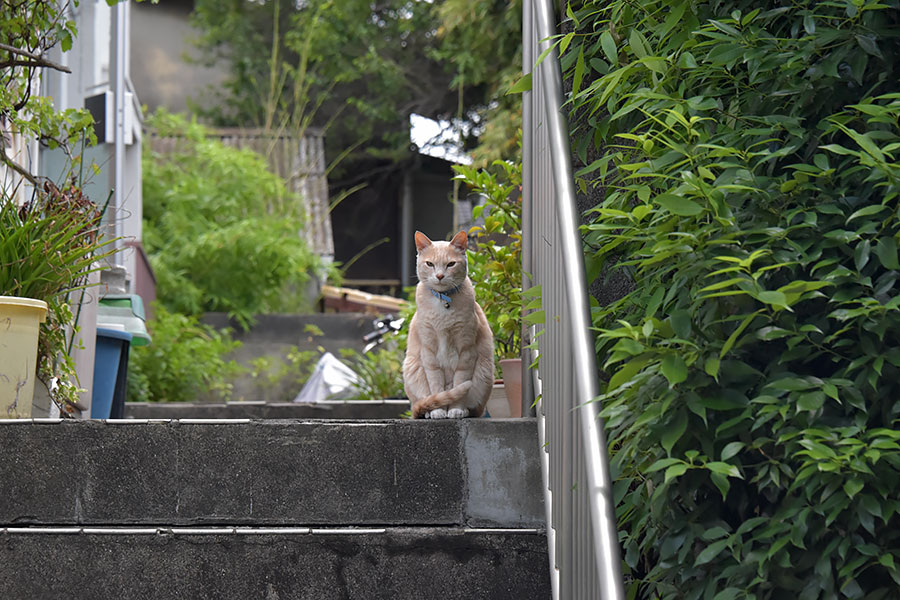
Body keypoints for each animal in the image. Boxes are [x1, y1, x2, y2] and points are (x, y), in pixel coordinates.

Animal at [404, 227, 496, 420]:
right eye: (430, 264)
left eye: (451, 264)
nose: (439, 275)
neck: (443, 302)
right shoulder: (429, 352)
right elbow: (436, 387)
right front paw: (438, 411)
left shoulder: (466, 350)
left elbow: (459, 384)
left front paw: (456, 409)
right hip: (412, 369)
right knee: (425, 400)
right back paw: (429, 412)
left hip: (484, 373)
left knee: (473, 407)